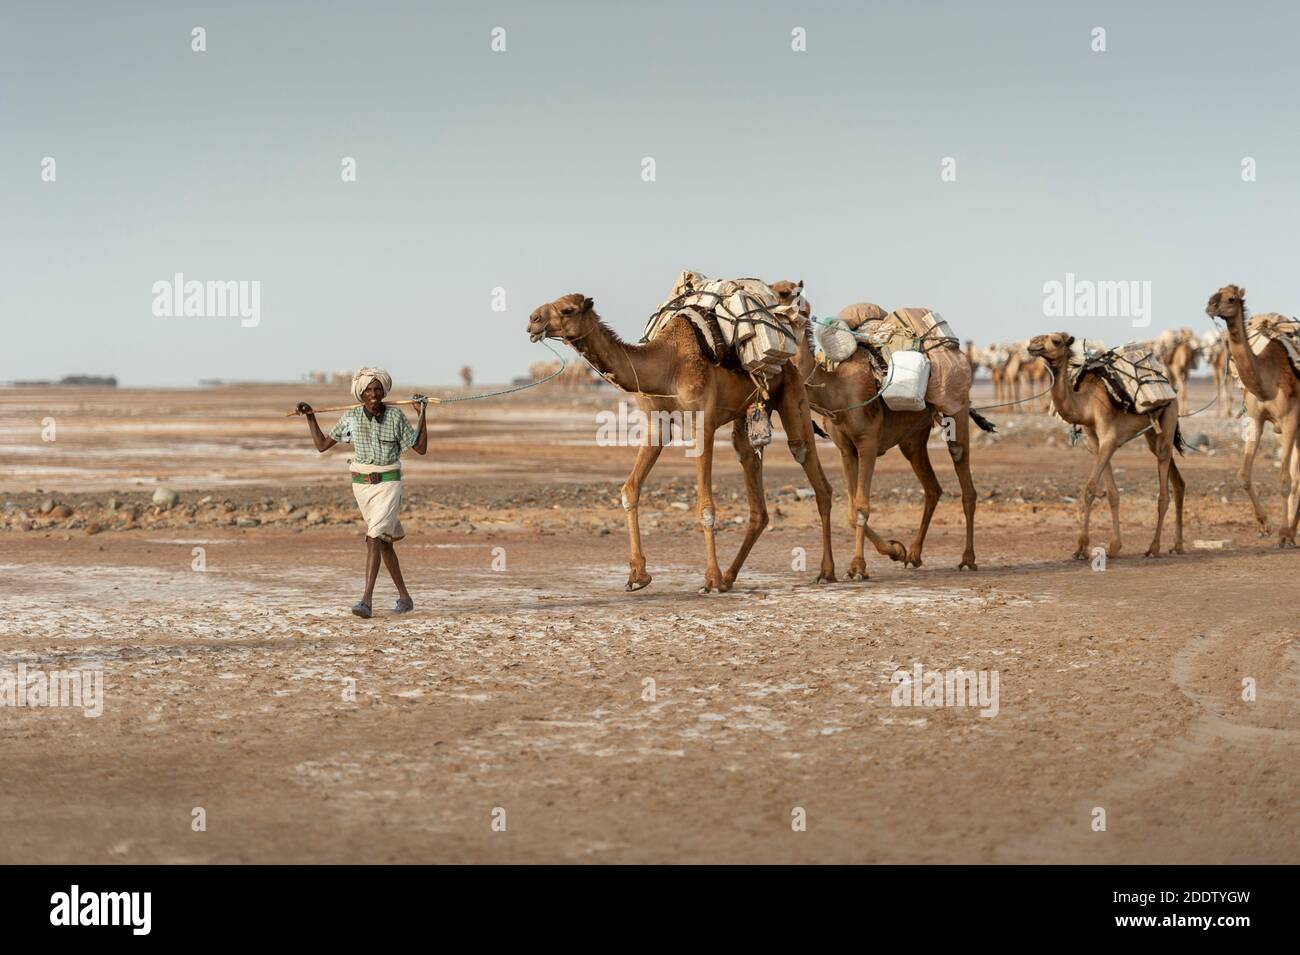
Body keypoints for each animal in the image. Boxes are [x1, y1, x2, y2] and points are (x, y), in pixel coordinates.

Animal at [527, 292, 837, 591]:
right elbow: (630, 489)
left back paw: (826, 572)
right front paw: (637, 575)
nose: (533, 320)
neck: (666, 364)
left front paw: (711, 580)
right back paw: (730, 577)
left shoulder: (703, 423)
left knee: (812, 470)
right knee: (754, 484)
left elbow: (706, 506)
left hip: (793, 394)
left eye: (567, 309)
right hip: (746, 416)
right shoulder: (657, 425)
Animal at [773, 281, 992, 576]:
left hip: (956, 407)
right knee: (932, 487)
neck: (835, 388)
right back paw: (914, 554)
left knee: (965, 479)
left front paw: (858, 566)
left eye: (788, 293)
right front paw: (895, 550)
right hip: (914, 437)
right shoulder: (846, 449)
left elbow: (862, 506)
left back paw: (967, 558)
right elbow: (852, 510)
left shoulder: (868, 441)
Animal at [1028, 333, 1185, 559]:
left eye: (1056, 340)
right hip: (1153, 433)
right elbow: (1112, 494)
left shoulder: (1109, 439)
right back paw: (1178, 545)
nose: (1032, 345)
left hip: (1169, 416)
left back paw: (1153, 547)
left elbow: (1090, 488)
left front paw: (1081, 548)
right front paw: (1113, 547)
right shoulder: (1096, 444)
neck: (1085, 405)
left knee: (1163, 492)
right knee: (1177, 479)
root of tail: (1170, 387)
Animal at [1206, 285, 1300, 546]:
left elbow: (1285, 480)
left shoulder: (1290, 419)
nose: (1210, 306)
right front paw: (1265, 525)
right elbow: (1244, 475)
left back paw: (1291, 531)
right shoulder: (1256, 419)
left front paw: (1284, 533)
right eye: (1214, 293)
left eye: (1231, 298)